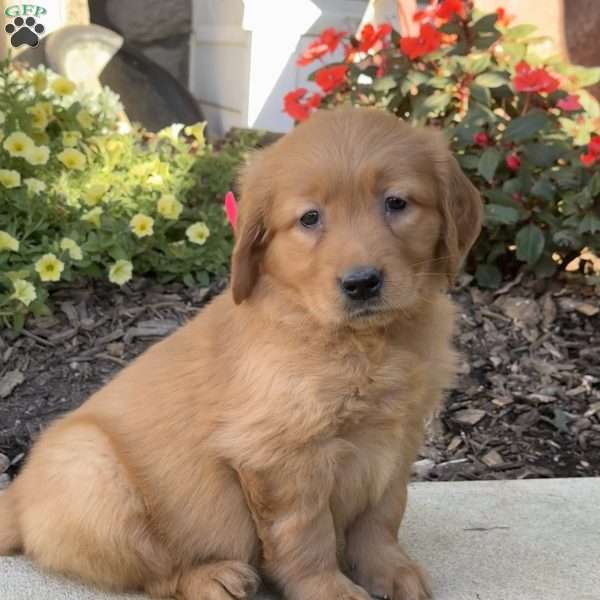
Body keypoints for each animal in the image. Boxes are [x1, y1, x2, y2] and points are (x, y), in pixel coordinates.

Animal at [0, 108, 480, 600]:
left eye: (396, 203)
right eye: (310, 218)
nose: (362, 283)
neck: (363, 341)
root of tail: (16, 500)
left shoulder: (398, 438)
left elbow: (382, 514)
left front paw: (389, 568)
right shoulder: (279, 456)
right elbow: (306, 535)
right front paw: (329, 588)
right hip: (94, 474)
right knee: (158, 572)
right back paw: (213, 576)